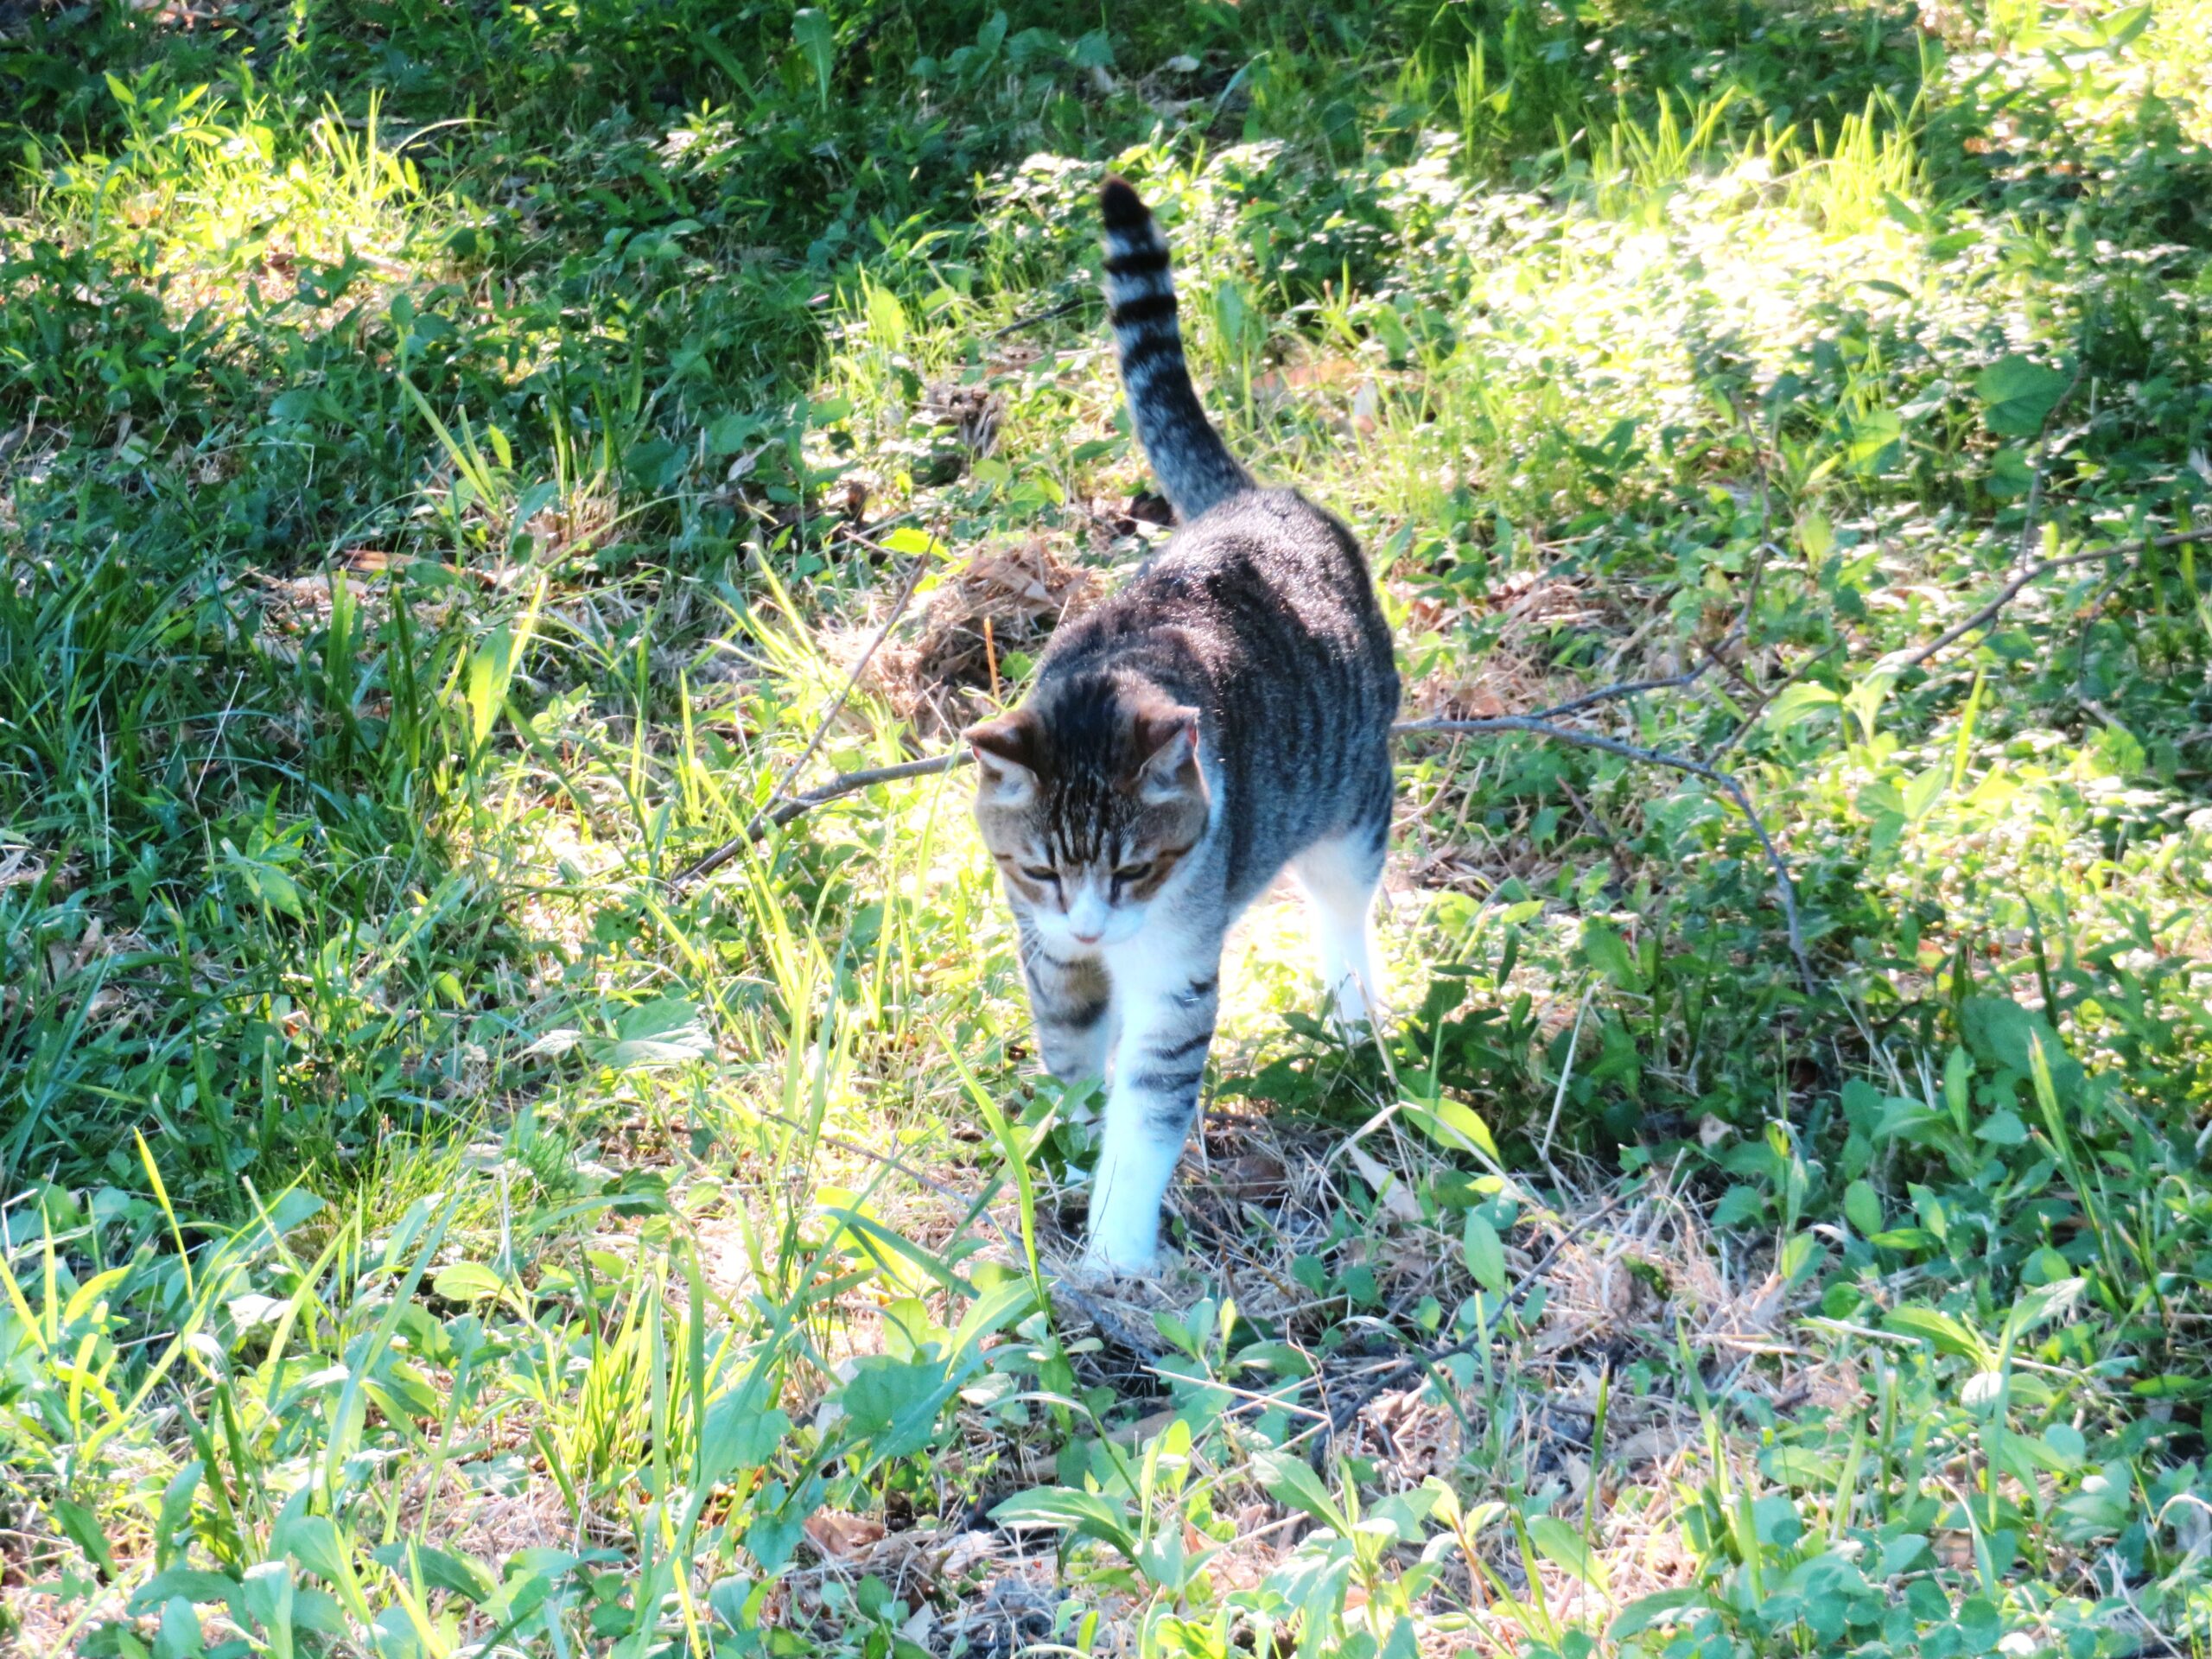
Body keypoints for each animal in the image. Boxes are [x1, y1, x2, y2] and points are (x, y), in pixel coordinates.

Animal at [960, 179, 1389, 1274]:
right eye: (1039, 870)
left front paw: (1114, 1255)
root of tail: (1259, 498)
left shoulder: (1176, 979)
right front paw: (1064, 1165)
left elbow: (1146, 1111)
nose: (1088, 921)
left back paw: (1356, 1022)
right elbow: (1074, 1071)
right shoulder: (1051, 960)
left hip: (1355, 804)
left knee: (1343, 917)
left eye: (1135, 869)